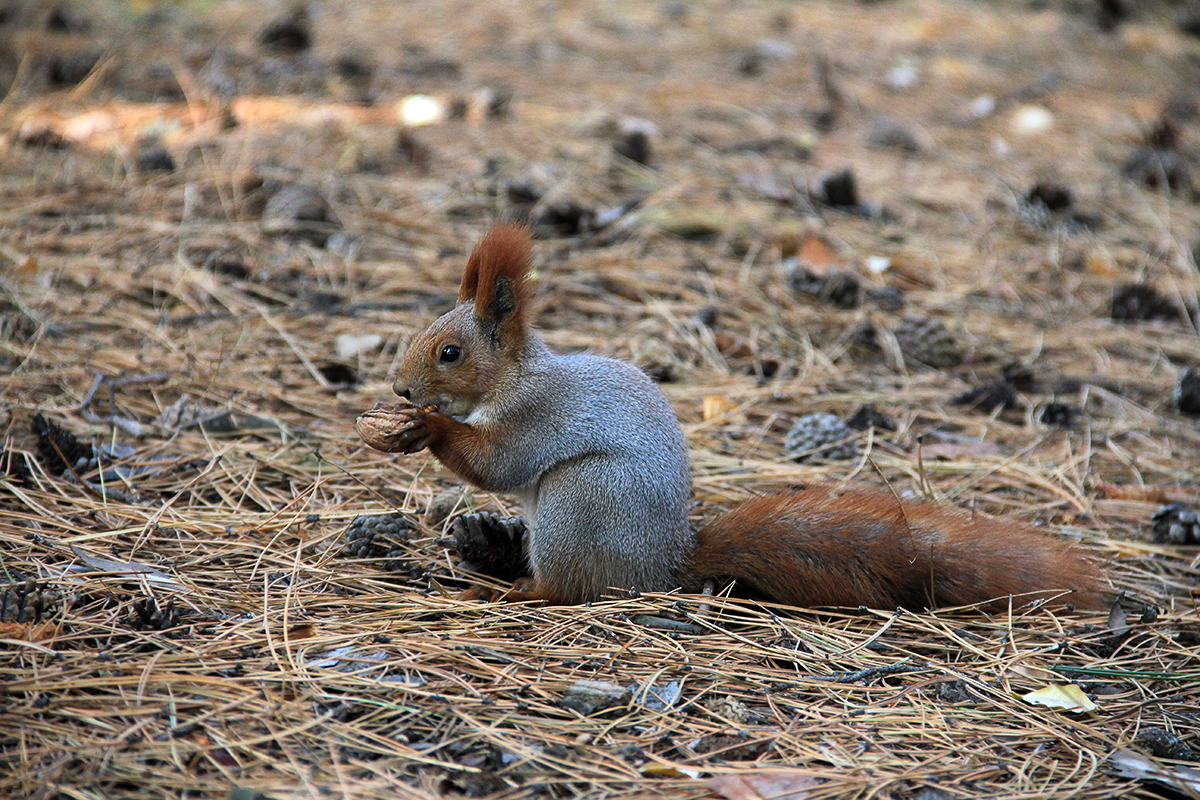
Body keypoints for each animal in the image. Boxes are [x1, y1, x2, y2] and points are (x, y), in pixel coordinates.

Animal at [355, 225, 1104, 614]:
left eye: (450, 352)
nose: (399, 387)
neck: (514, 376)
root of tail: (662, 567)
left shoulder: (541, 414)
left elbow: (500, 461)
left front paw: (427, 428)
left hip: (580, 504)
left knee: (575, 587)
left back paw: (518, 588)